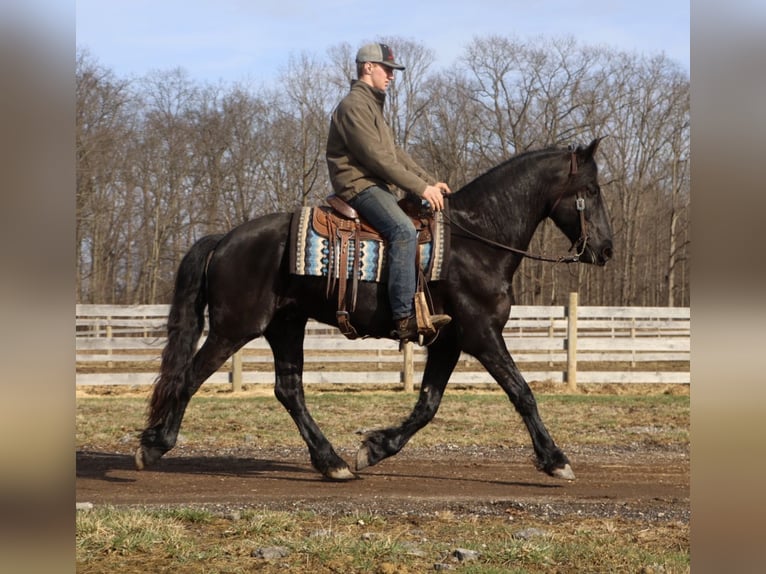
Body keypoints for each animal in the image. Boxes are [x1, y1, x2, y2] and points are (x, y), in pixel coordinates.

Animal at [136, 138, 613, 482]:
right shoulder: (481, 334)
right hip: (234, 328)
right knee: (189, 377)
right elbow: (522, 392)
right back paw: (154, 444)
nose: (606, 249)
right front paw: (555, 459)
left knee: (289, 391)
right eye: (590, 191)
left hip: (285, 325)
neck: (477, 240)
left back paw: (331, 462)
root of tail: (225, 238)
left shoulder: (449, 341)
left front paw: (375, 448)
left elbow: (427, 404)